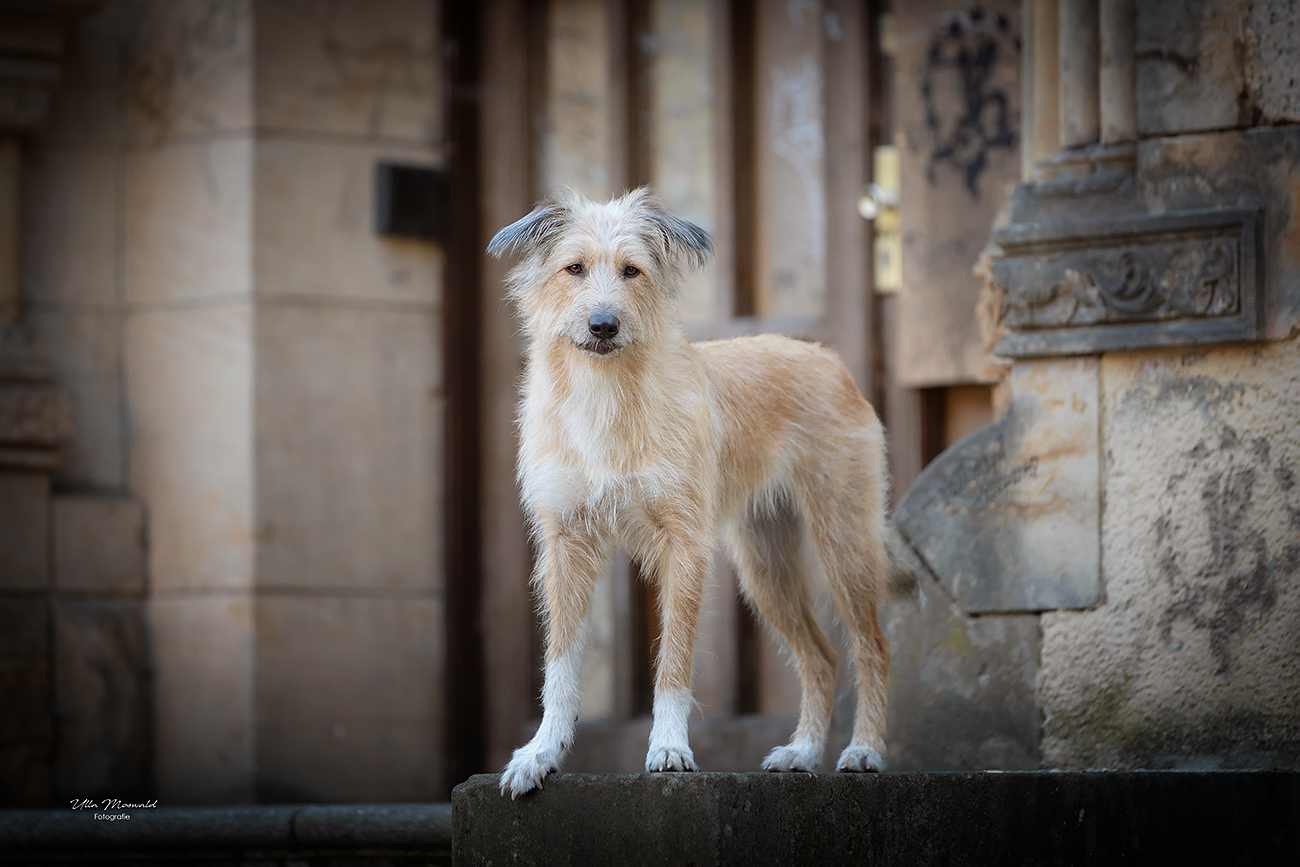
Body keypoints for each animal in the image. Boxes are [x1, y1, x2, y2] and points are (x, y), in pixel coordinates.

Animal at [488, 188, 894, 800]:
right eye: (573, 269)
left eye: (632, 271)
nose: (603, 324)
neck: (605, 394)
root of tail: (825, 357)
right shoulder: (567, 547)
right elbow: (559, 662)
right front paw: (542, 752)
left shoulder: (684, 545)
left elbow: (674, 661)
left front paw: (669, 747)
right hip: (765, 567)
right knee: (820, 657)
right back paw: (802, 751)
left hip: (843, 544)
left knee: (871, 647)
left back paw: (865, 748)